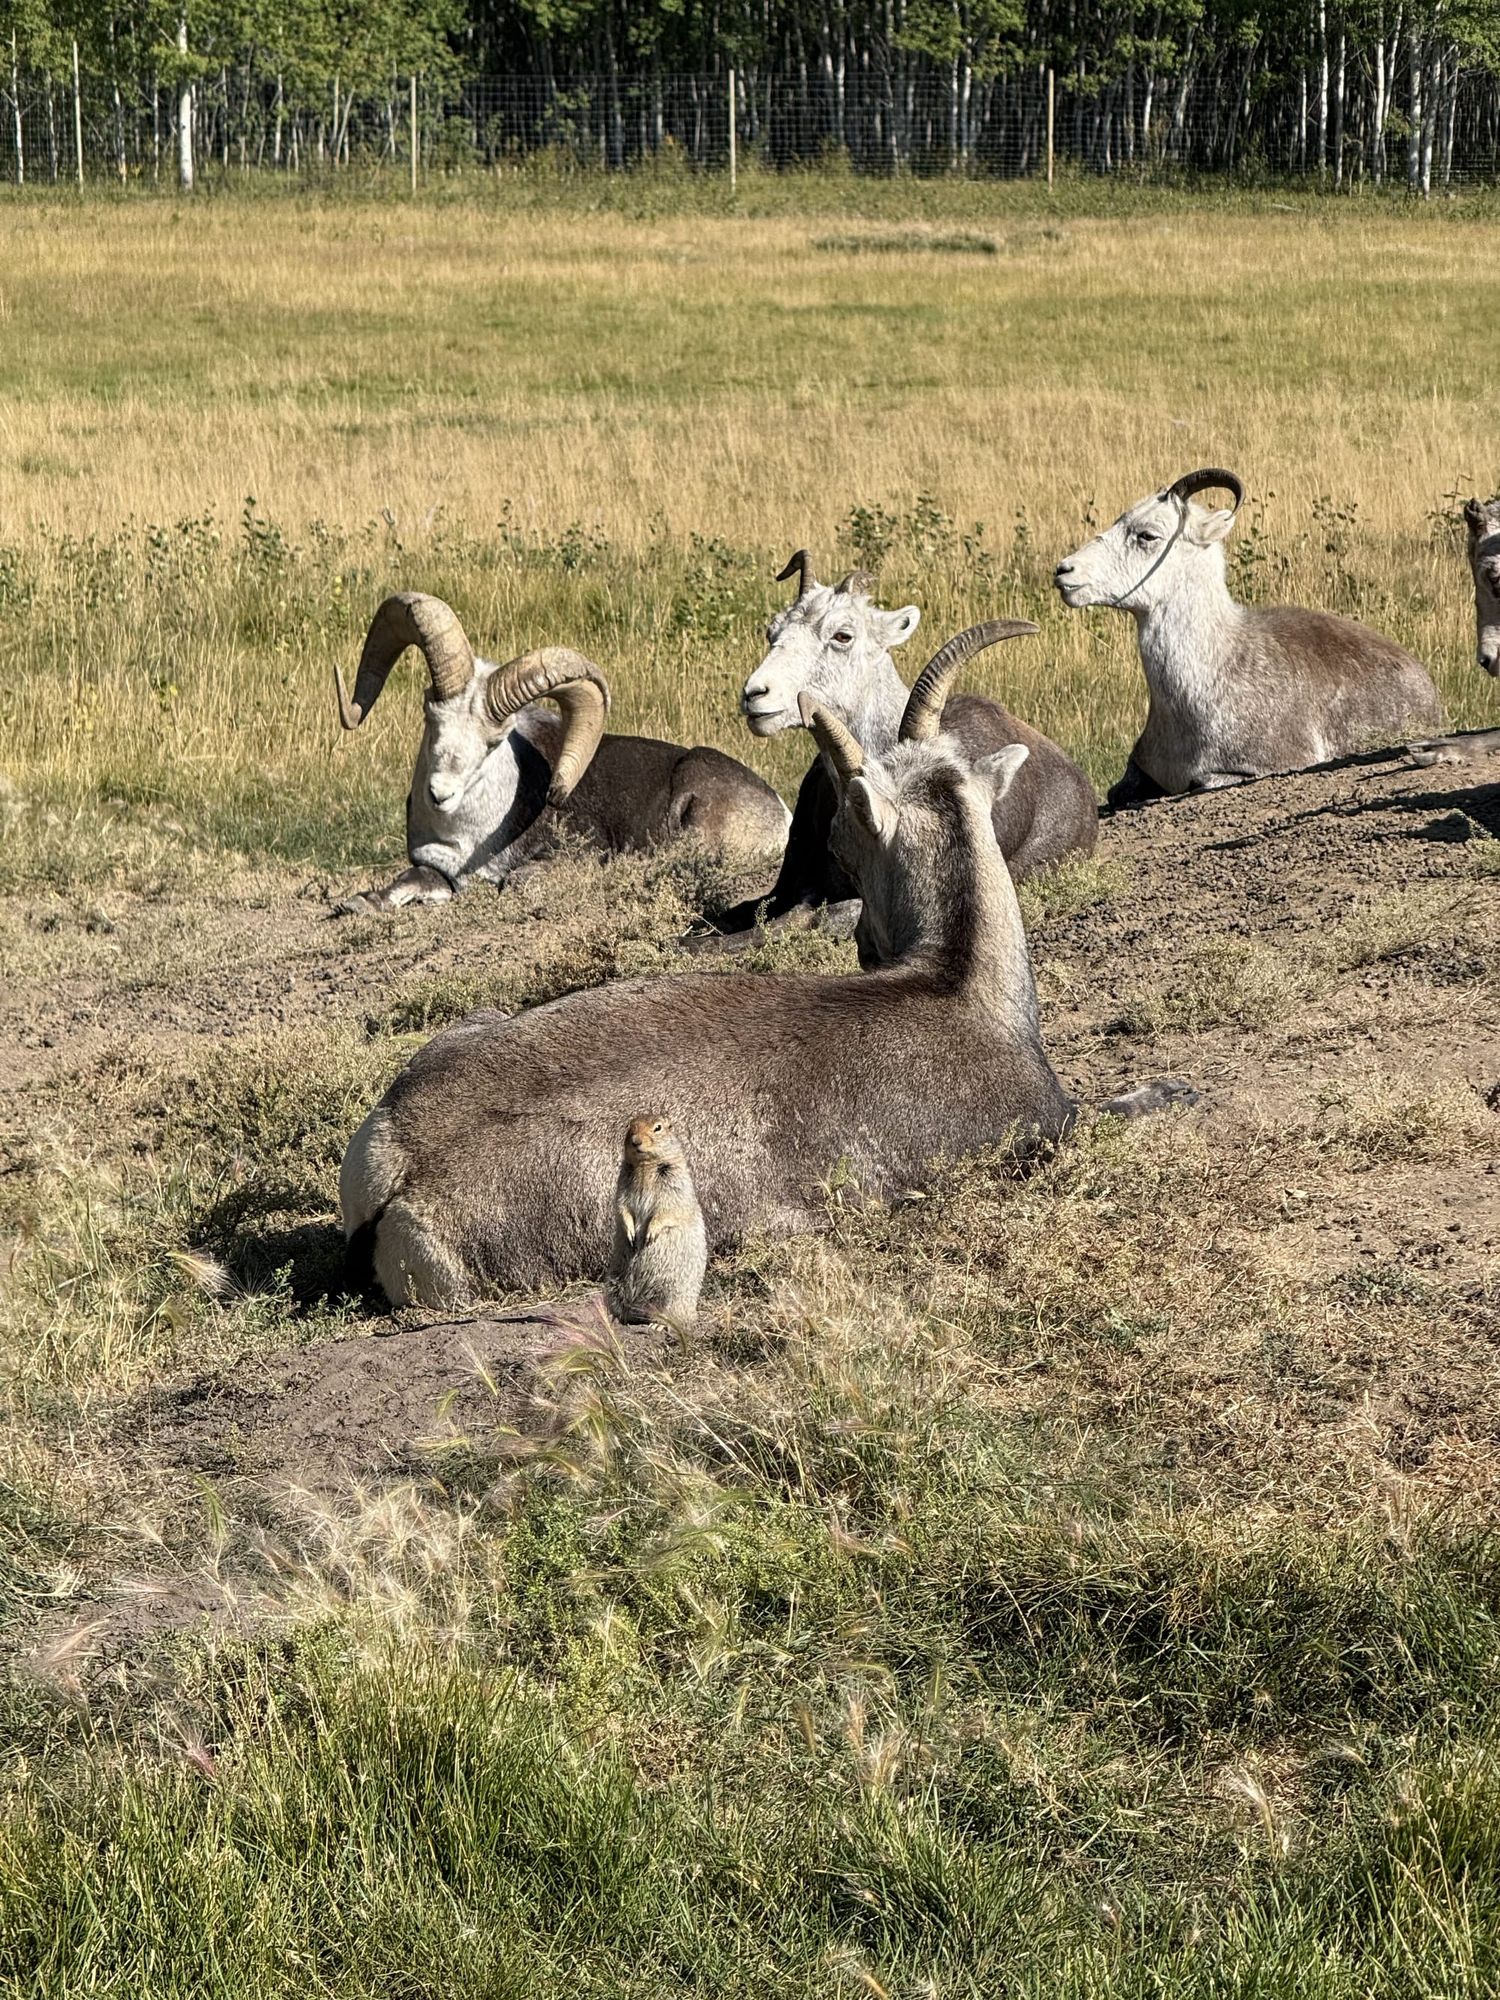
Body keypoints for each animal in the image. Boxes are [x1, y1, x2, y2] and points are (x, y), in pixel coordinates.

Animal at [333, 594, 791, 914]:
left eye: (494, 740)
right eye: (431, 715)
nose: (440, 793)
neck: (470, 835)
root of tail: (781, 814)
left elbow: (516, 882)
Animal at [607, 1114, 708, 1331]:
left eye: (658, 1128)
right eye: (630, 1126)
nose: (635, 1141)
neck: (646, 1166)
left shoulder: (675, 1181)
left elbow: (667, 1208)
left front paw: (650, 1233)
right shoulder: (622, 1182)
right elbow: (621, 1206)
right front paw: (630, 1232)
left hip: (671, 1293)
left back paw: (658, 1325)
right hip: (612, 1284)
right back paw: (614, 1318)